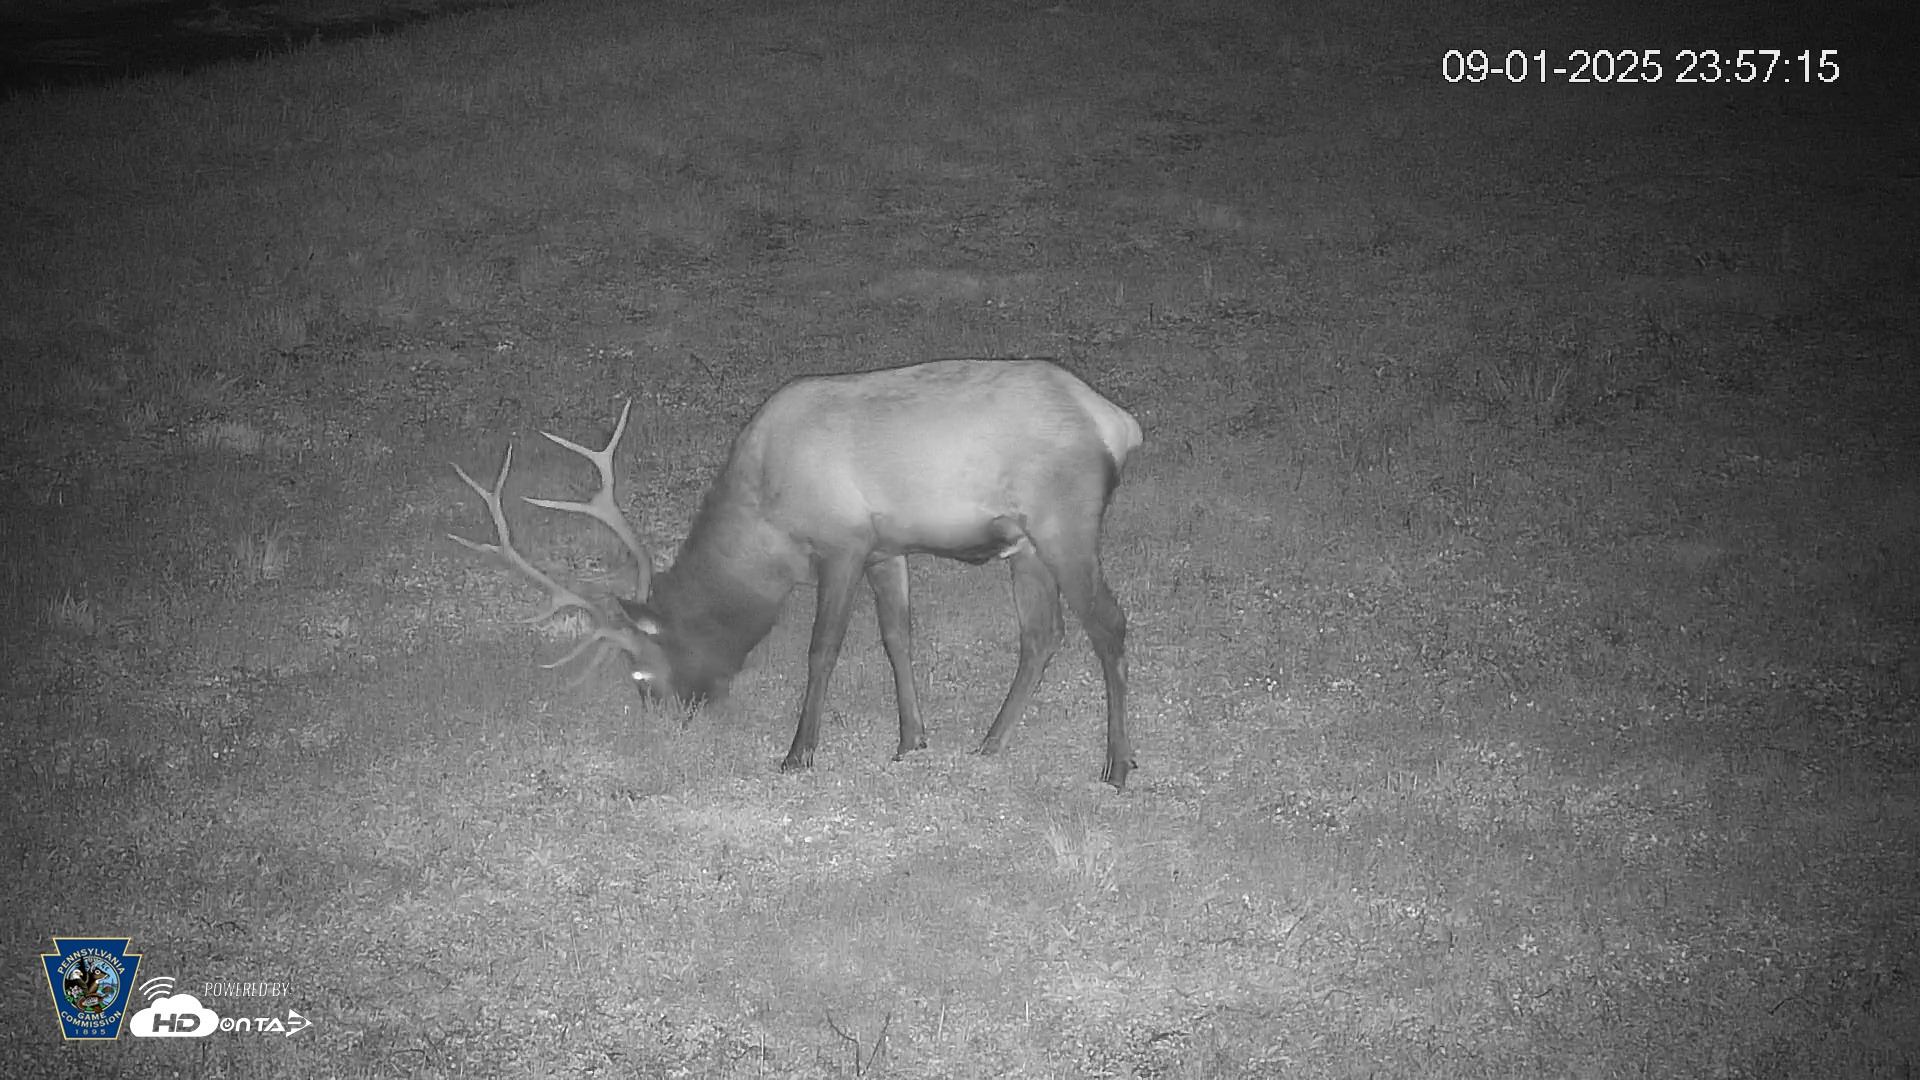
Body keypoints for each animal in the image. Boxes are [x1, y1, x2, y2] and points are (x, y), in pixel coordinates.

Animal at [450, 358, 1143, 787]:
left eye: (641, 672)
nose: (663, 719)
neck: (767, 522)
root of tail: (1118, 423)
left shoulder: (842, 542)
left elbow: (822, 648)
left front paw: (798, 753)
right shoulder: (886, 547)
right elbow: (897, 639)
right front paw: (910, 740)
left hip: (1063, 521)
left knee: (1108, 624)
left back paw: (1117, 765)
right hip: (1024, 544)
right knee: (1043, 634)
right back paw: (990, 743)